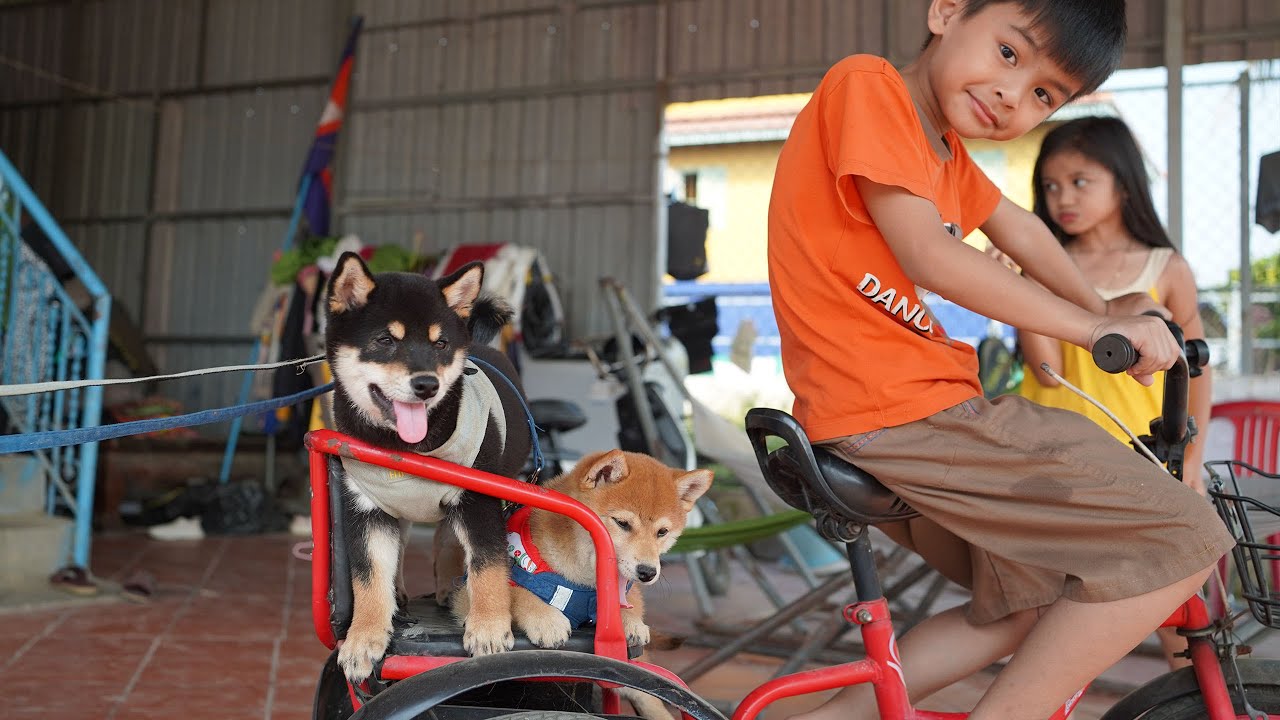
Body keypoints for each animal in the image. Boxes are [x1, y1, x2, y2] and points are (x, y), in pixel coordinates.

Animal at [330, 252, 535, 681]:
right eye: (385, 340)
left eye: (440, 343)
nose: (427, 385)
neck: (405, 446)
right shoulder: (367, 508)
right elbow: (369, 577)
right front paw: (363, 638)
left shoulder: (478, 498)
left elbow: (488, 565)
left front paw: (489, 628)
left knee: (447, 541)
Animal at [450, 448, 711, 717]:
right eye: (622, 523)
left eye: (662, 532)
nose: (648, 572)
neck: (584, 577)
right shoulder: (464, 596)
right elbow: (519, 593)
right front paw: (546, 619)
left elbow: (629, 600)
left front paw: (630, 622)